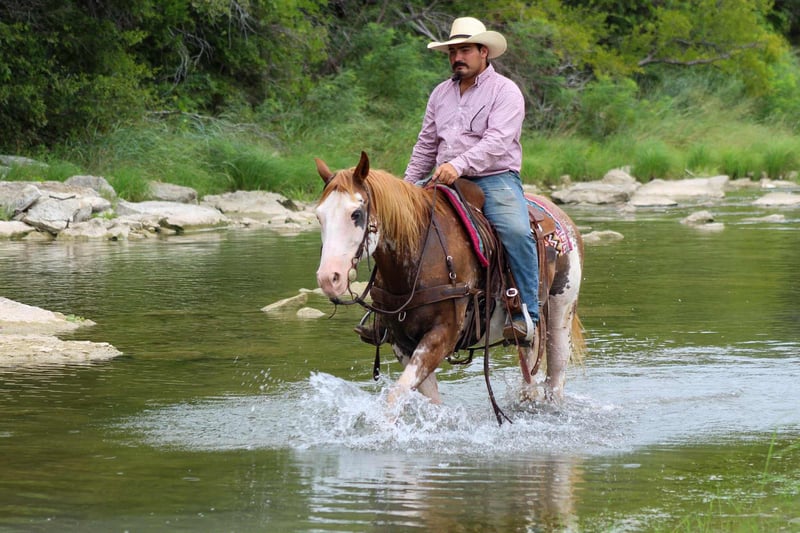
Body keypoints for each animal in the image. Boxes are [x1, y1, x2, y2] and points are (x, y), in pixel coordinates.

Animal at [314, 152, 584, 420]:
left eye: (356, 214)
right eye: (319, 216)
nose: (329, 278)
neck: (420, 253)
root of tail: (561, 217)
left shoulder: (443, 334)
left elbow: (395, 395)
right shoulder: (402, 343)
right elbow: (427, 398)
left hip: (562, 310)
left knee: (556, 375)